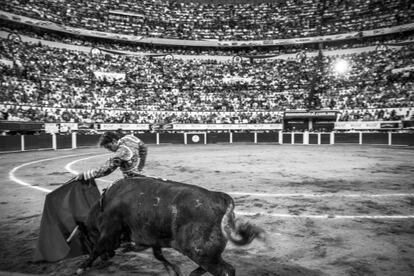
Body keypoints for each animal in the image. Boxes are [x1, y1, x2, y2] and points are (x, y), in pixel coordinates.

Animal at [77, 177, 266, 276]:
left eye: (86, 238)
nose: (106, 259)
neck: (103, 205)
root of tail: (220, 198)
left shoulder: (109, 232)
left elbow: (97, 248)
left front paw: (82, 267)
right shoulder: (154, 240)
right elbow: (159, 256)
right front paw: (174, 270)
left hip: (201, 253)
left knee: (226, 270)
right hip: (207, 254)